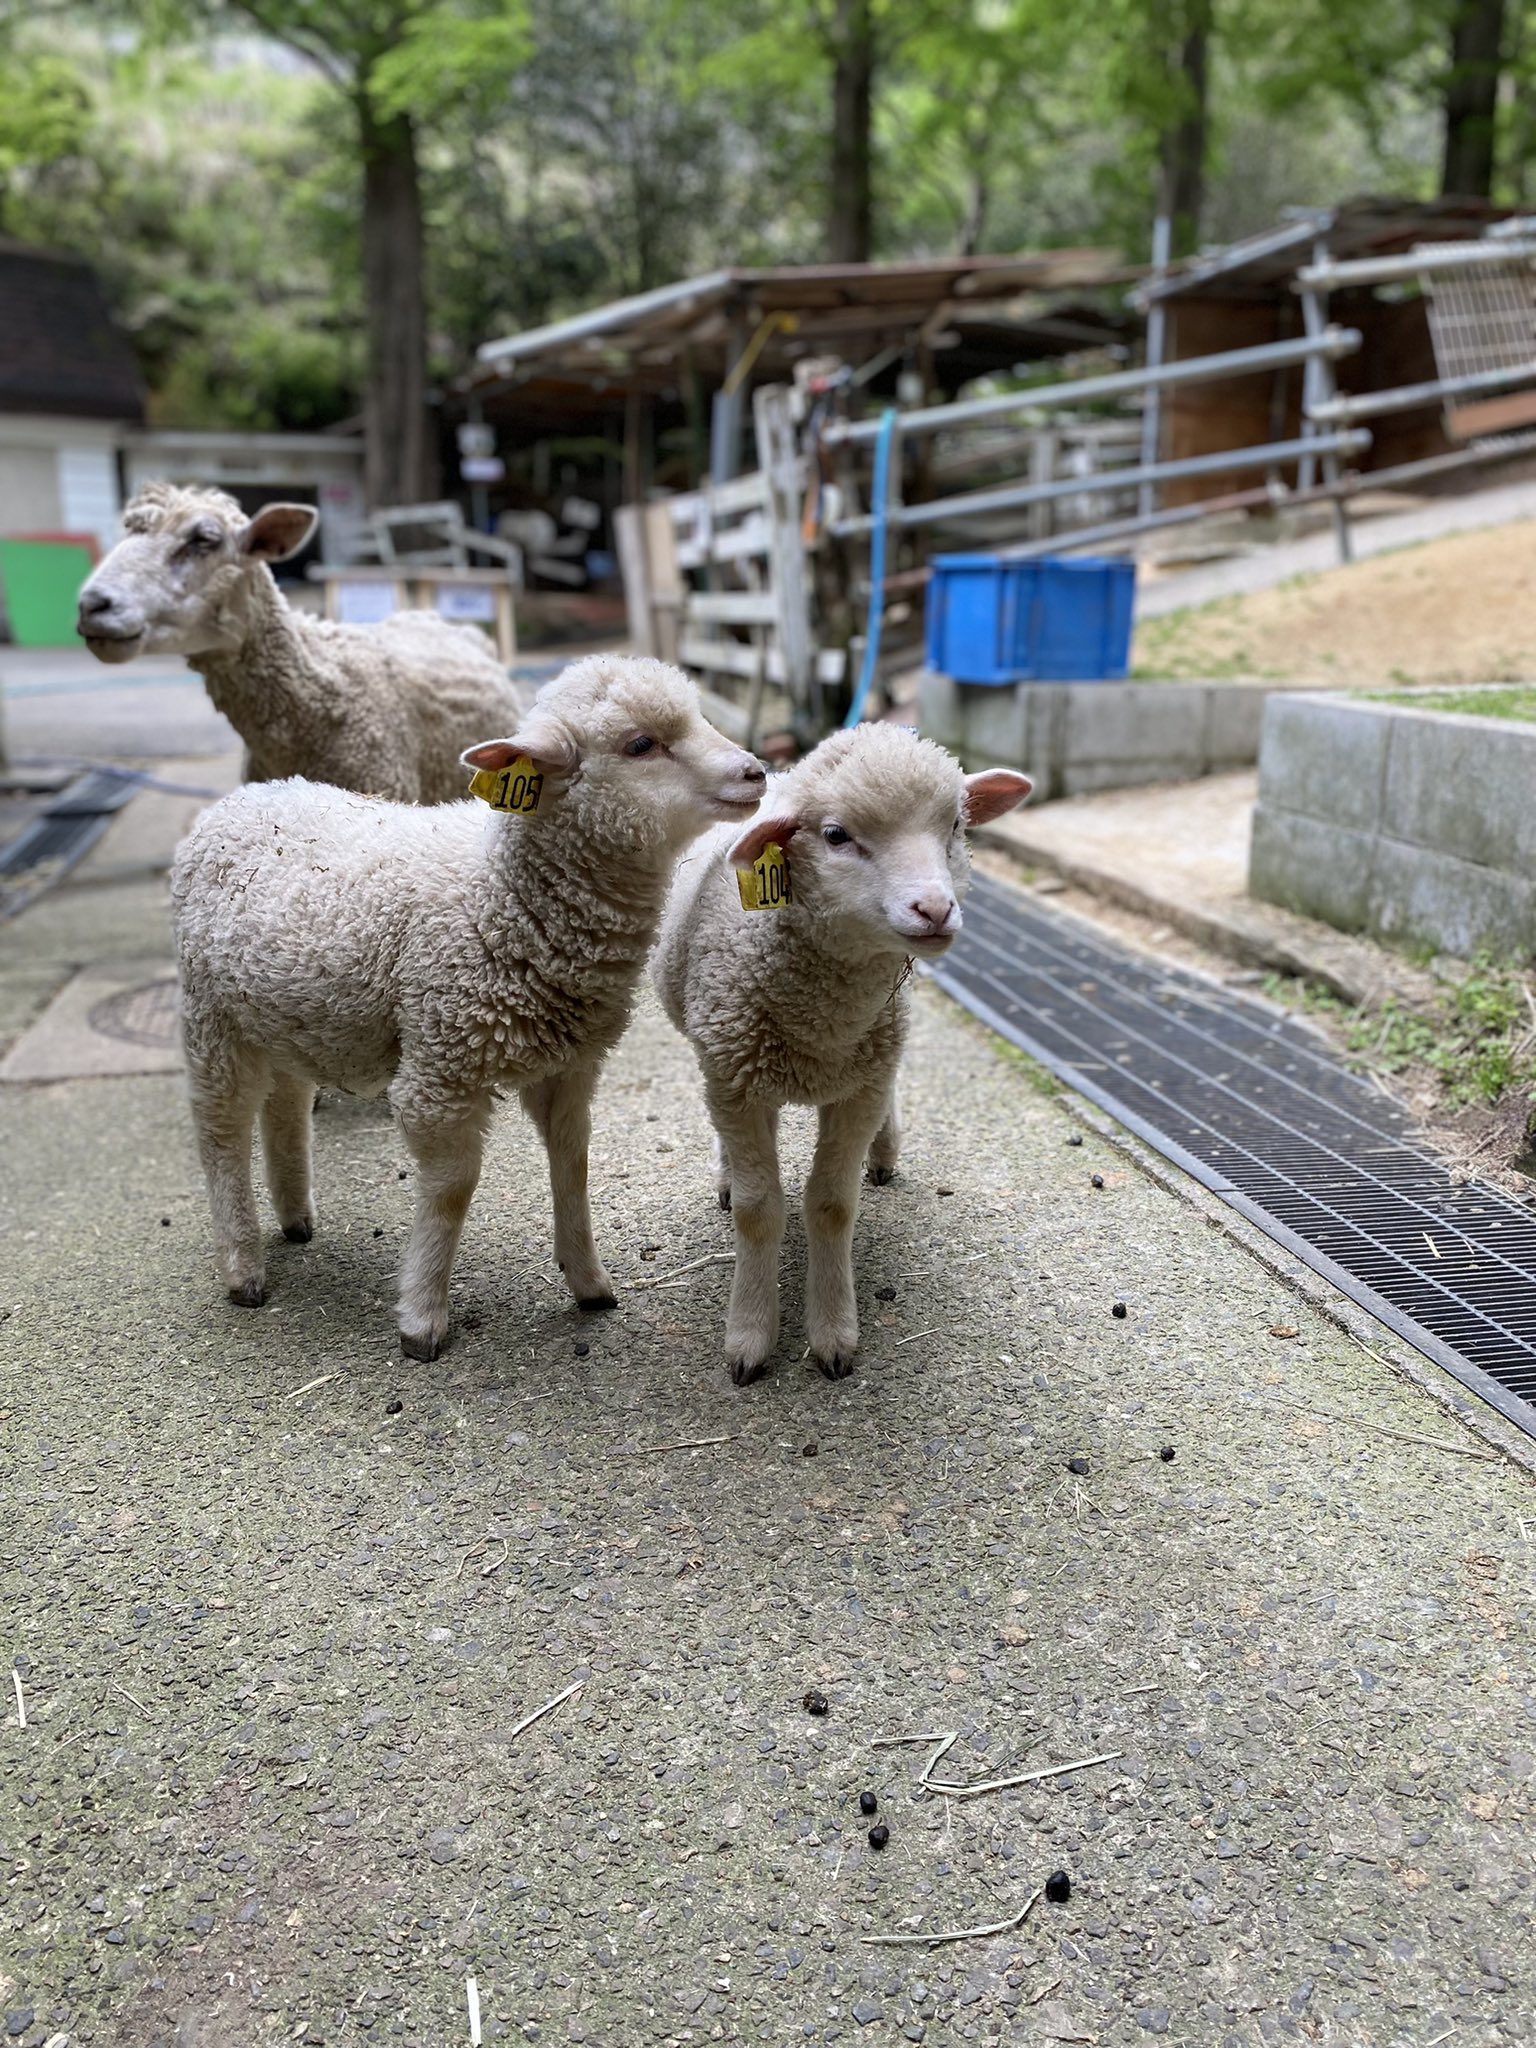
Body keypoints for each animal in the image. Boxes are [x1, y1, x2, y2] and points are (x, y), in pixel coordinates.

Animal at [170, 654, 766, 1360]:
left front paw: (589, 1283)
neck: (503, 893)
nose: (756, 772)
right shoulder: (441, 1064)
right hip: (211, 1016)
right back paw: (242, 1266)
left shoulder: (570, 1064)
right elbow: (451, 1190)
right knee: (221, 1131)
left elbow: (573, 1163)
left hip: (284, 1011)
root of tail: (239, 800)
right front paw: (422, 1316)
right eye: (640, 745)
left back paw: (294, 1219)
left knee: (285, 1103)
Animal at [651, 722, 1031, 1384]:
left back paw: (884, 1151)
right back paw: (726, 1173)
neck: (822, 1026)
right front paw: (750, 1333)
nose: (934, 909)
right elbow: (757, 1209)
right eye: (835, 835)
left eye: (956, 825)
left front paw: (832, 1332)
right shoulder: (736, 1076)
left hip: (885, 1036)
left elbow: (831, 1205)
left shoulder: (862, 1083)